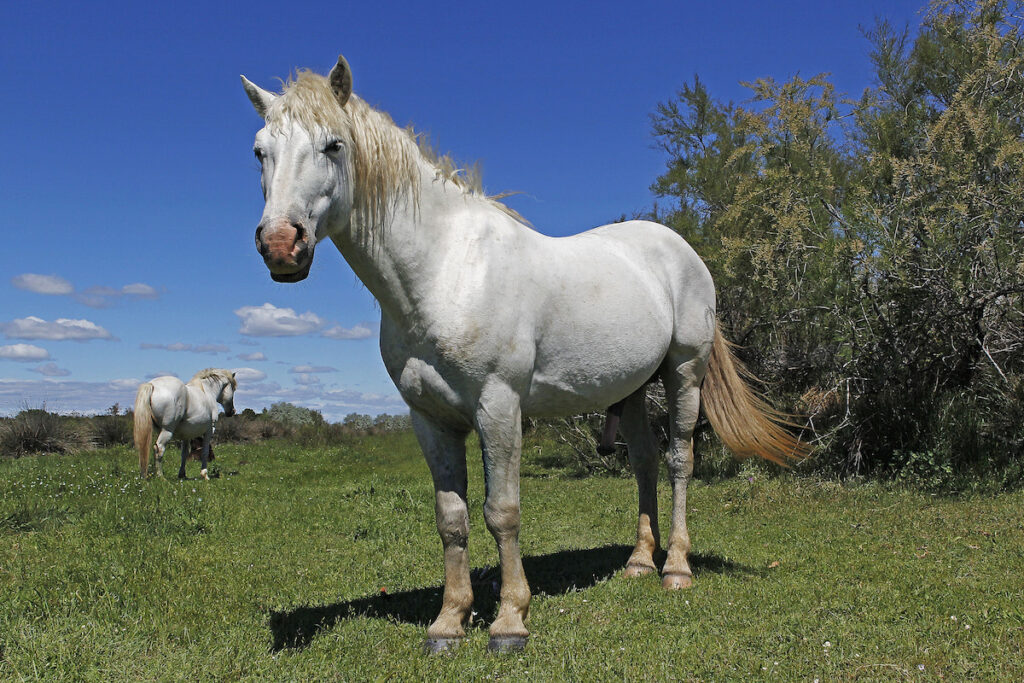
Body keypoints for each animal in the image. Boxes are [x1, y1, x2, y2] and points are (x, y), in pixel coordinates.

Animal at [239, 56, 806, 651]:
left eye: (333, 146)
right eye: (260, 150)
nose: (281, 244)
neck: (445, 272)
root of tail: (682, 251)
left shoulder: (499, 407)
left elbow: (502, 512)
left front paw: (510, 620)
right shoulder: (429, 418)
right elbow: (451, 518)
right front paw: (449, 621)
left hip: (684, 373)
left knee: (678, 461)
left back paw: (675, 568)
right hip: (630, 388)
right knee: (645, 463)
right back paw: (638, 562)